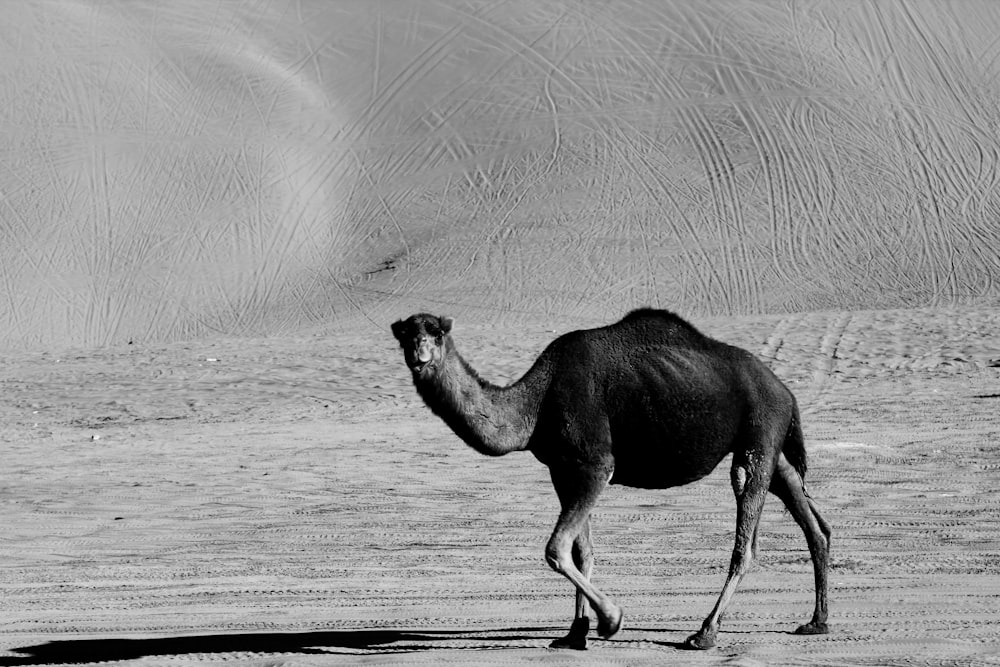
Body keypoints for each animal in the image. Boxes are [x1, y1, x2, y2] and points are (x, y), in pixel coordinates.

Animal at [390, 310, 828, 648]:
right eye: (406, 334)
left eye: (436, 332)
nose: (418, 356)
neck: (537, 403)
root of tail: (785, 391)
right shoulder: (562, 468)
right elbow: (582, 550)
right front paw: (574, 632)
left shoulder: (596, 463)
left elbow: (556, 548)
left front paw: (611, 619)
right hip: (771, 447)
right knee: (812, 522)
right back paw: (816, 621)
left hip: (760, 432)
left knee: (746, 539)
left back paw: (705, 633)